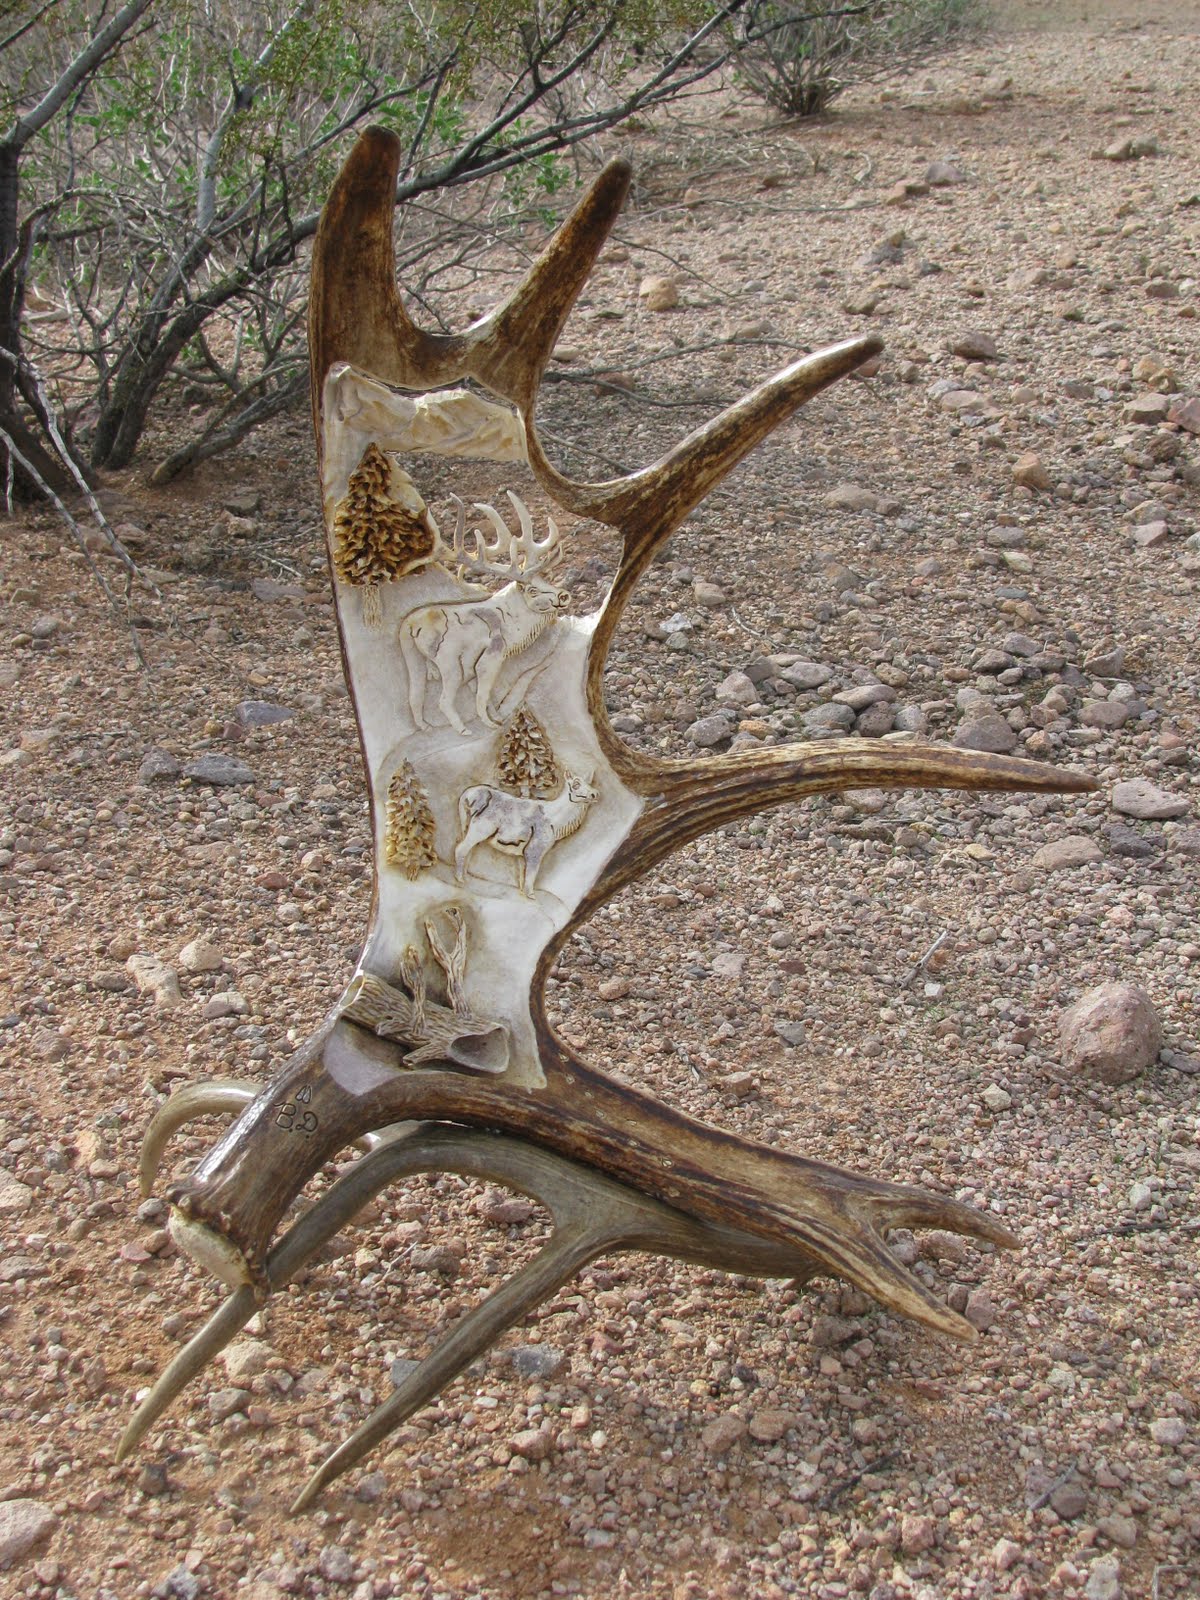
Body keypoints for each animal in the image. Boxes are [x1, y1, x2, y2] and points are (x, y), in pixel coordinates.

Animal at [397, 492, 570, 736]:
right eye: (532, 589)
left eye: (546, 580)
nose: (564, 595)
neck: (513, 626)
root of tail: (411, 626)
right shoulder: (492, 655)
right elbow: (483, 694)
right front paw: (492, 724)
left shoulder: (472, 665)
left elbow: (483, 695)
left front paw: (495, 717)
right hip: (448, 661)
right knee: (444, 700)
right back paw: (462, 730)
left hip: (412, 656)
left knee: (414, 694)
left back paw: (425, 727)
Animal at [454, 771, 598, 896]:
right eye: (576, 784)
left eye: (589, 783)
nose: (595, 794)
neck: (555, 823)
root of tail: (468, 795)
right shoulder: (535, 850)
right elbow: (532, 874)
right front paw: (531, 896)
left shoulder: (522, 853)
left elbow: (523, 875)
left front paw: (524, 893)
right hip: (481, 829)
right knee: (460, 848)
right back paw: (460, 879)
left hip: (467, 826)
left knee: (467, 851)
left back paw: (463, 877)